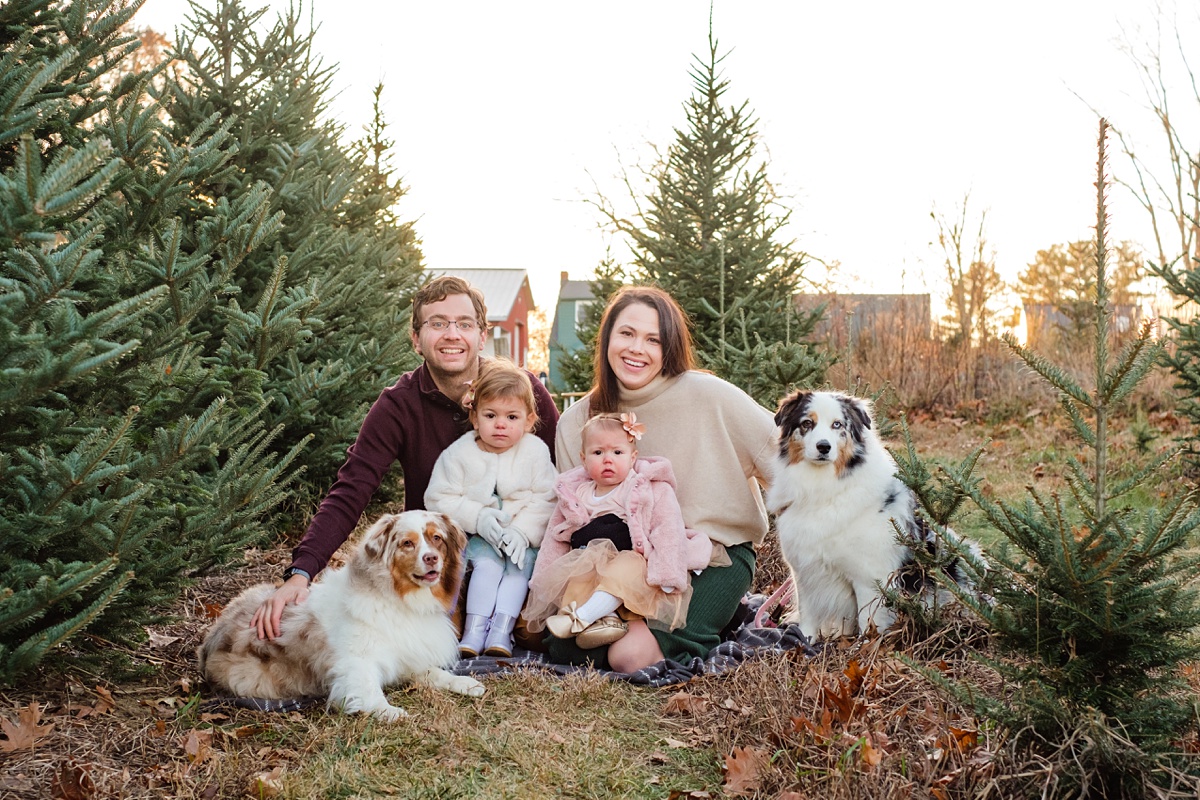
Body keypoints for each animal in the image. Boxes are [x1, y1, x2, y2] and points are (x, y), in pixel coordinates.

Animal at [198, 513, 482, 724]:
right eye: (407, 543)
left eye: (437, 538)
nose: (431, 558)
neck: (399, 599)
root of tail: (208, 639)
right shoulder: (356, 662)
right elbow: (368, 688)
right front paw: (389, 711)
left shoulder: (406, 654)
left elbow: (435, 673)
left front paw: (465, 683)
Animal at [763, 391, 979, 642]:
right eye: (807, 423)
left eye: (837, 424)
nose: (823, 447)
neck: (825, 488)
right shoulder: (805, 571)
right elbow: (807, 616)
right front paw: (802, 641)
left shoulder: (870, 579)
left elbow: (869, 625)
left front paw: (862, 649)